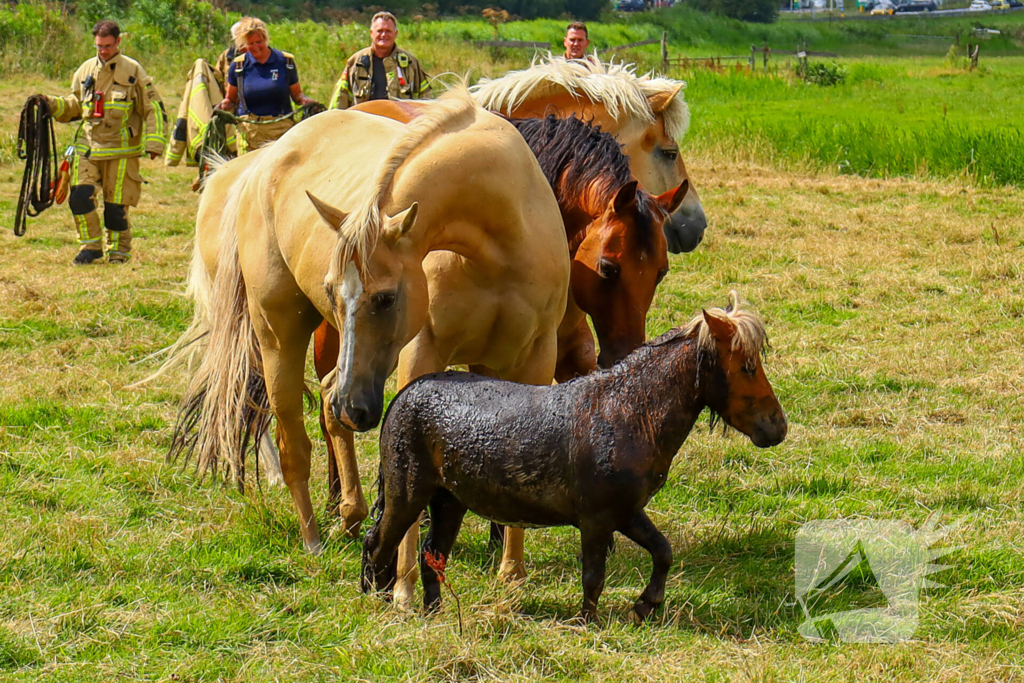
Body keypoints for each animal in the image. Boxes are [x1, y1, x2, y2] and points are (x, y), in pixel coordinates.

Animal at [167, 90, 570, 583]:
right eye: (330, 290)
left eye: (385, 298)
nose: (354, 406)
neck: (501, 234)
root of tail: (263, 160)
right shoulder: (422, 357)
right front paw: (404, 583)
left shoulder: (533, 358)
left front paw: (511, 572)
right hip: (280, 337)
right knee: (294, 438)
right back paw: (313, 538)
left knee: (326, 399)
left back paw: (351, 513)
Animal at [362, 292, 787, 623]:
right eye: (747, 366)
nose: (777, 427)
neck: (627, 410)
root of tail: (403, 396)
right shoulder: (597, 519)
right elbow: (593, 576)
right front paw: (587, 622)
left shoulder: (626, 512)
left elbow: (663, 551)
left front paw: (646, 605)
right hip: (408, 494)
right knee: (378, 544)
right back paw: (379, 602)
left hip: (449, 501)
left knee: (432, 555)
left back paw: (435, 614)